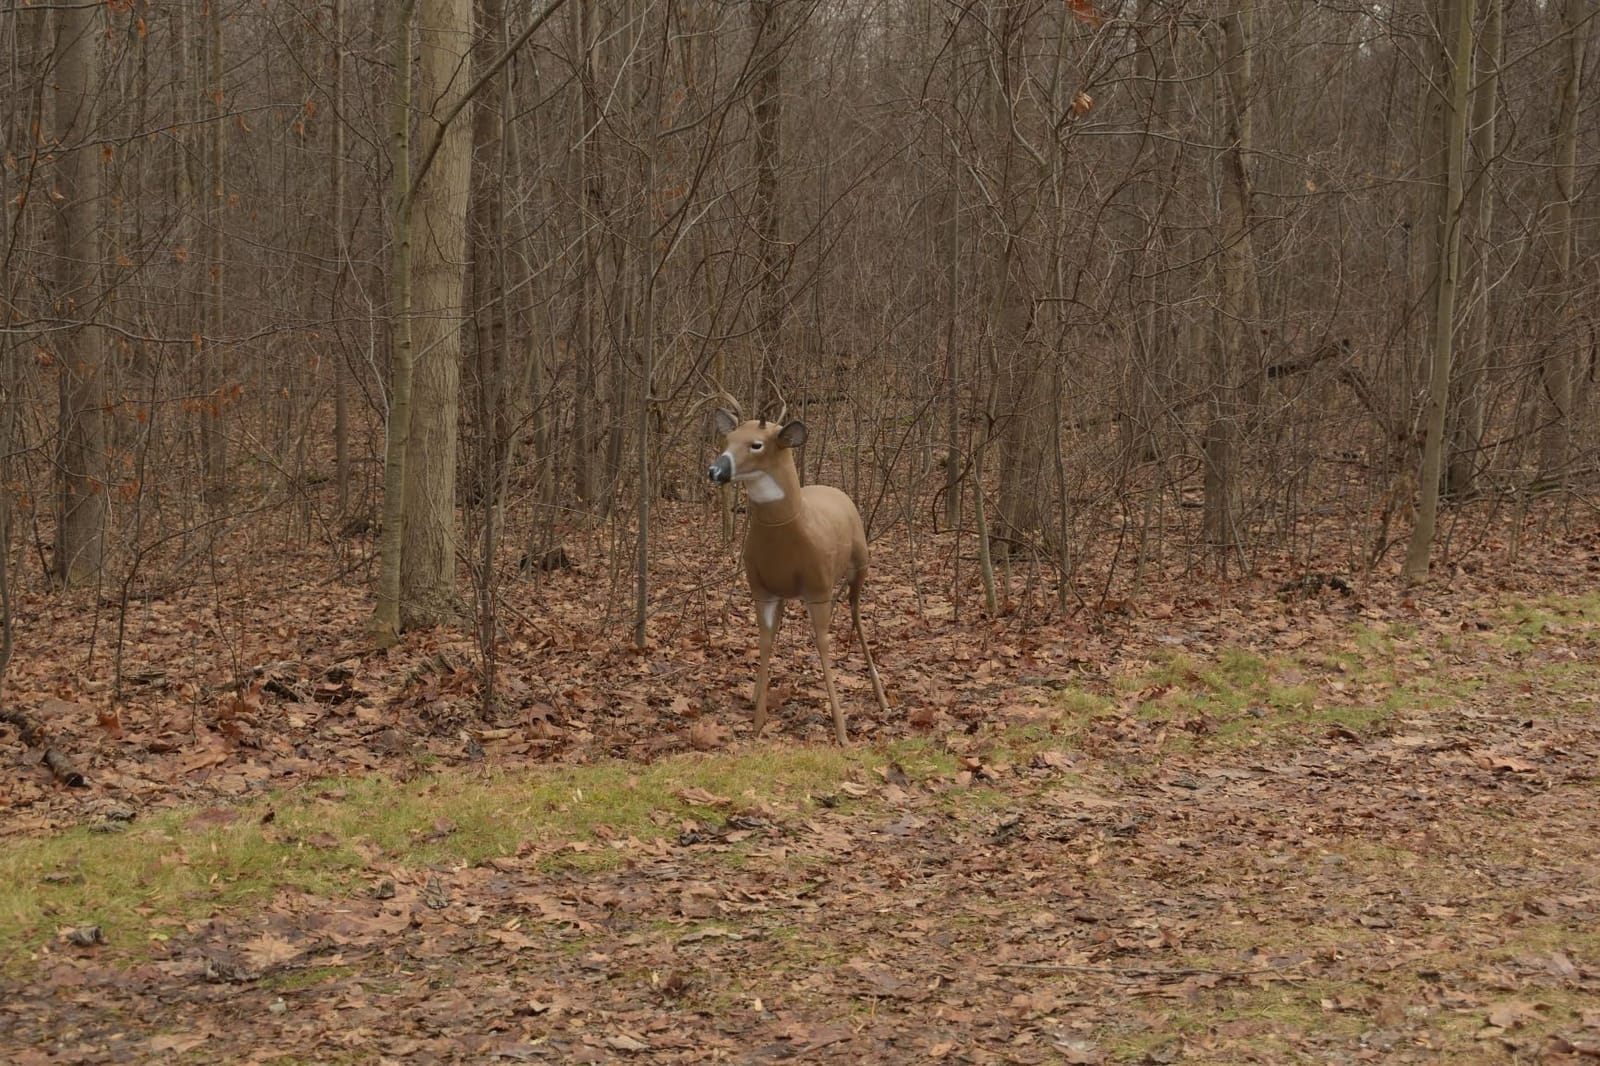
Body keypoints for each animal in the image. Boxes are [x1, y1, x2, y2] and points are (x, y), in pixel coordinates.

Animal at [708, 409, 890, 744]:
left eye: (756, 444)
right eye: (727, 440)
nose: (715, 470)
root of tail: (835, 490)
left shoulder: (818, 587)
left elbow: (822, 644)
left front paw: (842, 732)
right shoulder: (761, 588)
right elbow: (765, 641)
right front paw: (757, 723)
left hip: (860, 564)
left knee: (856, 614)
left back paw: (882, 699)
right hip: (785, 592)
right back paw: (756, 694)